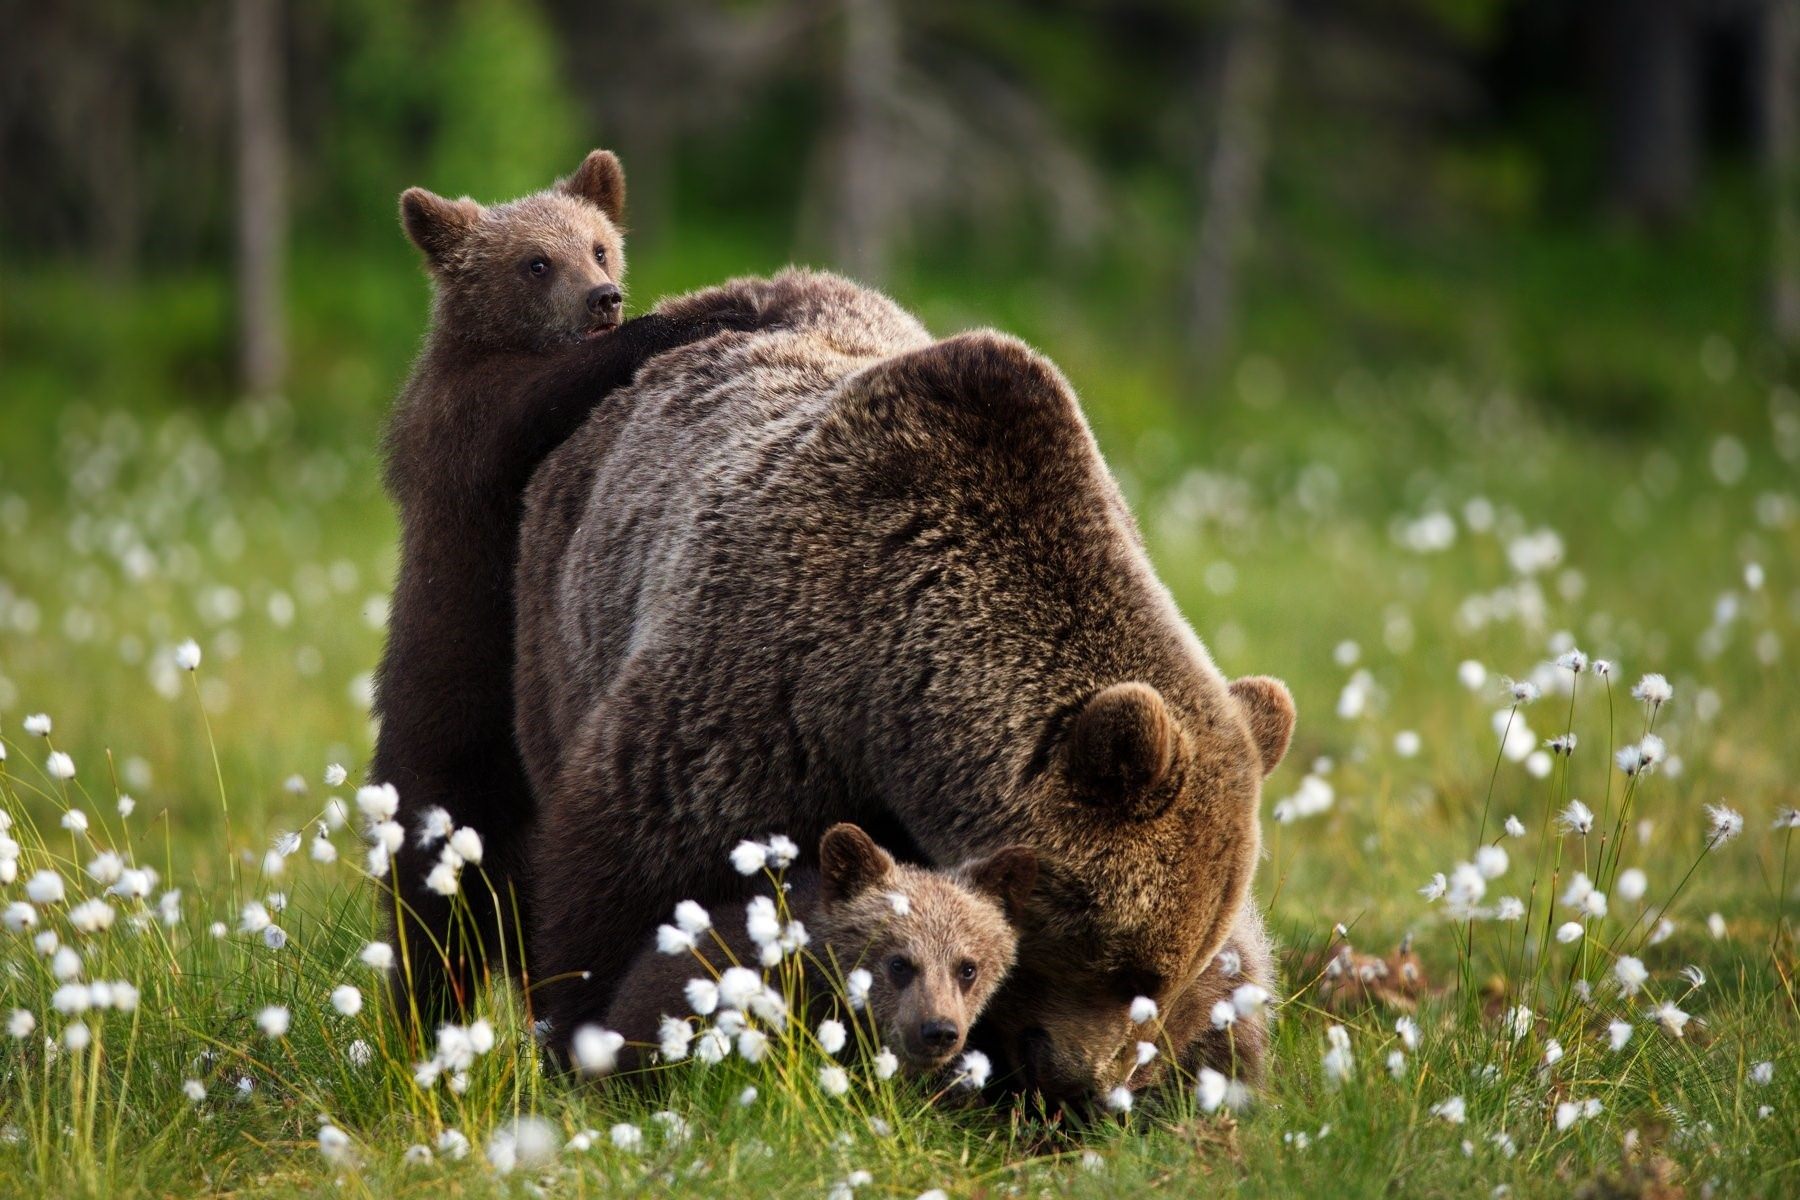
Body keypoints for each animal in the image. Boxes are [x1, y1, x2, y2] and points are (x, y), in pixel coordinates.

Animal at [372, 145, 752, 1021]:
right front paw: (718, 308)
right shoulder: (472, 431)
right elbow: (538, 396)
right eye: (535, 262)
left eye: (601, 246)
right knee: (433, 926)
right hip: (450, 762)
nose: (603, 297)